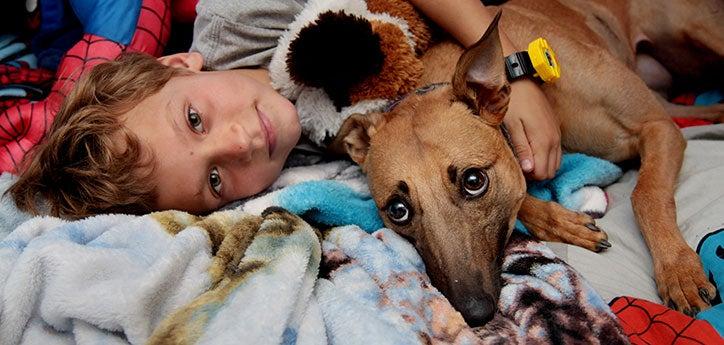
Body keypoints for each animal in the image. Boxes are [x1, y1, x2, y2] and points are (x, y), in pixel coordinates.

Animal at [330, 0, 720, 326]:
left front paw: (679, 271)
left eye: (474, 181)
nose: (474, 314)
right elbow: (523, 200)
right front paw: (565, 223)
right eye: (398, 210)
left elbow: (646, 195)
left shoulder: (657, 129)